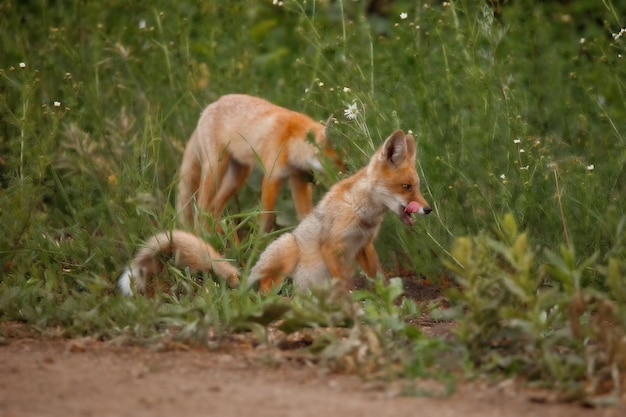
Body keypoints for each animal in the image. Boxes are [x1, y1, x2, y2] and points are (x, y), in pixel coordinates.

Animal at [117, 130, 428, 296]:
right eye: (406, 187)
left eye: (418, 187)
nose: (428, 209)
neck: (362, 211)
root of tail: (245, 277)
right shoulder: (331, 244)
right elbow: (343, 281)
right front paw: (348, 300)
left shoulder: (363, 245)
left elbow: (378, 277)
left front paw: (386, 297)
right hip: (287, 248)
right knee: (267, 285)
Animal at [176, 92, 342, 232]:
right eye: (333, 162)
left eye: (342, 162)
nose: (343, 175)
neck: (289, 143)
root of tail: (209, 107)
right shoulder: (271, 177)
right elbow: (266, 219)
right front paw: (261, 241)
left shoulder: (298, 179)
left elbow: (305, 214)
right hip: (216, 169)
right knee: (200, 210)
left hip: (238, 177)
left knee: (213, 210)